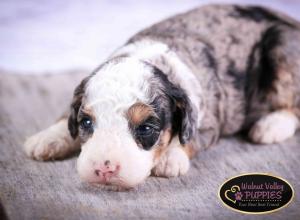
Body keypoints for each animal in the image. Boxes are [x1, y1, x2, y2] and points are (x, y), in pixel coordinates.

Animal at [23, 4, 300, 188]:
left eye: (146, 128)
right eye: (86, 122)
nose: (103, 168)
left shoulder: (210, 118)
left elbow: (190, 137)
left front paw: (170, 158)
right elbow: (66, 116)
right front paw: (47, 138)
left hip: (281, 48)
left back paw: (271, 126)